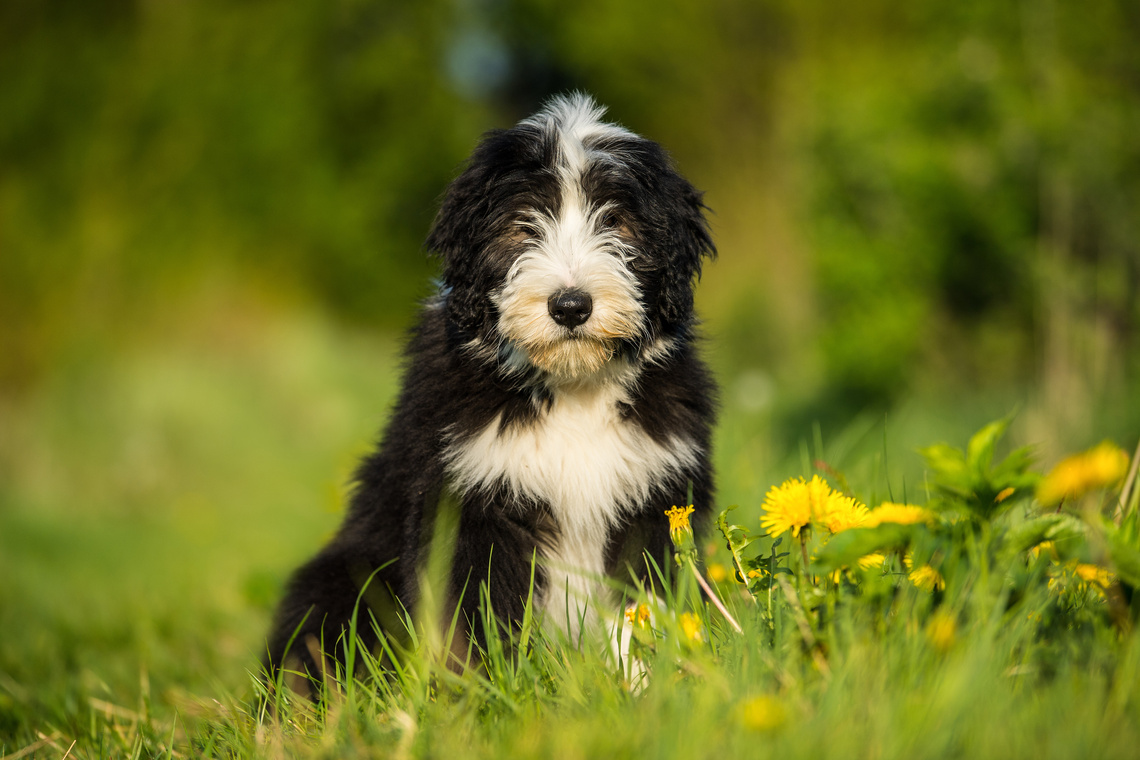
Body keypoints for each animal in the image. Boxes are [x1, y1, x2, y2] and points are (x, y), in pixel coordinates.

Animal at [262, 95, 715, 688]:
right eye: (524, 225)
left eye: (616, 221)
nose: (571, 305)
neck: (571, 388)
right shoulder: (469, 497)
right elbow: (474, 616)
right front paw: (485, 692)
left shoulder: (654, 495)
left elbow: (641, 606)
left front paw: (645, 686)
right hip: (338, 579)